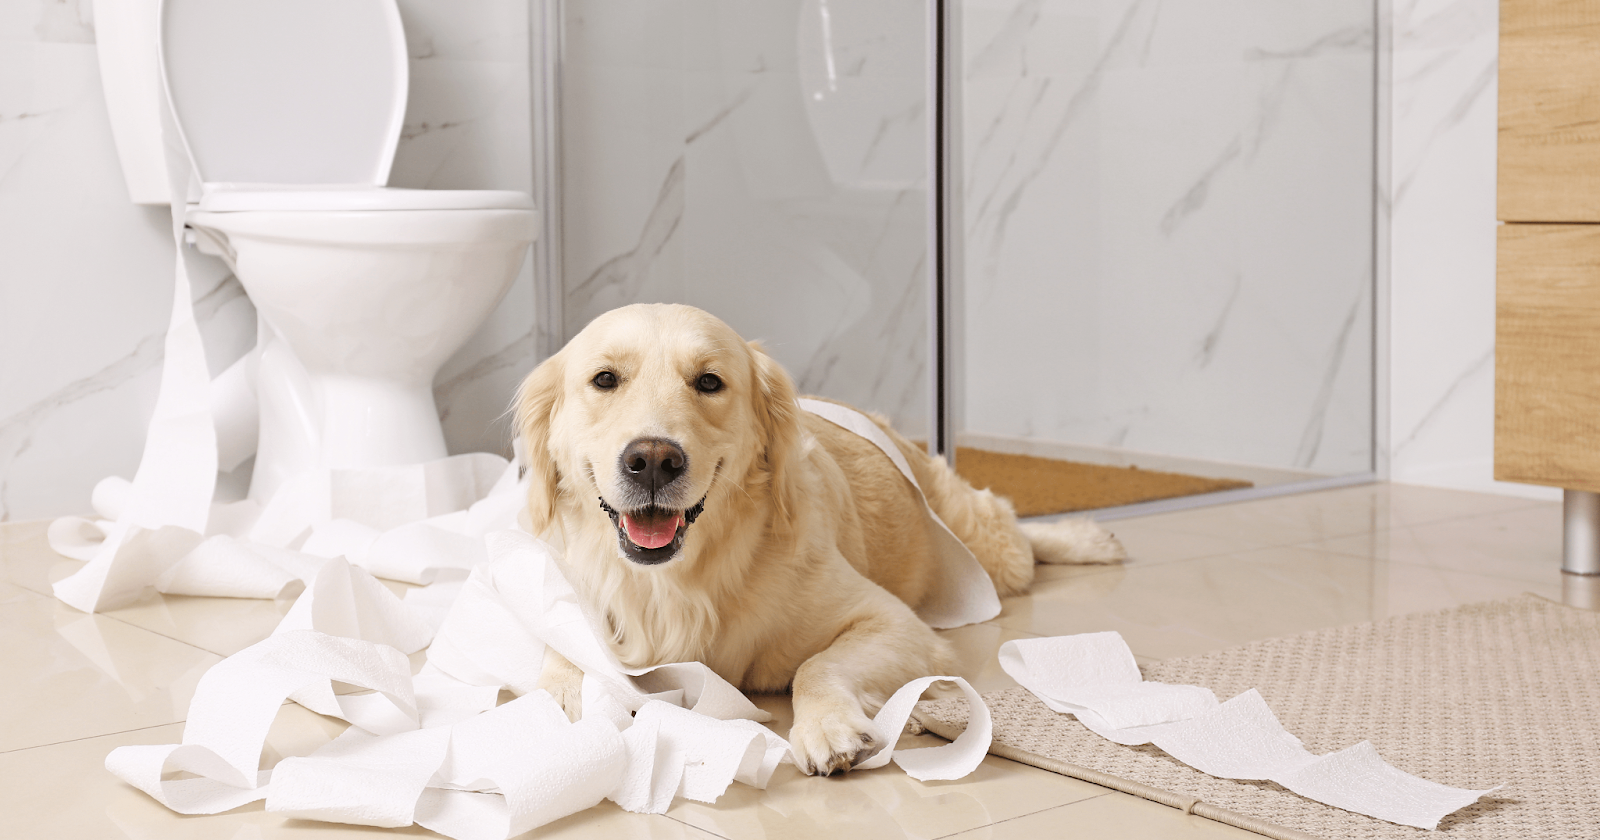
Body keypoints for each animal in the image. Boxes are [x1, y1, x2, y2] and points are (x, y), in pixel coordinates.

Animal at [515, 300, 1126, 774]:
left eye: (709, 382)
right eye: (604, 379)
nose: (653, 461)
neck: (682, 578)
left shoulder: (894, 623)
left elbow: (817, 666)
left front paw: (829, 728)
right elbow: (560, 657)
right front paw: (552, 712)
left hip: (981, 543)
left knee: (1013, 528)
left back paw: (1088, 538)